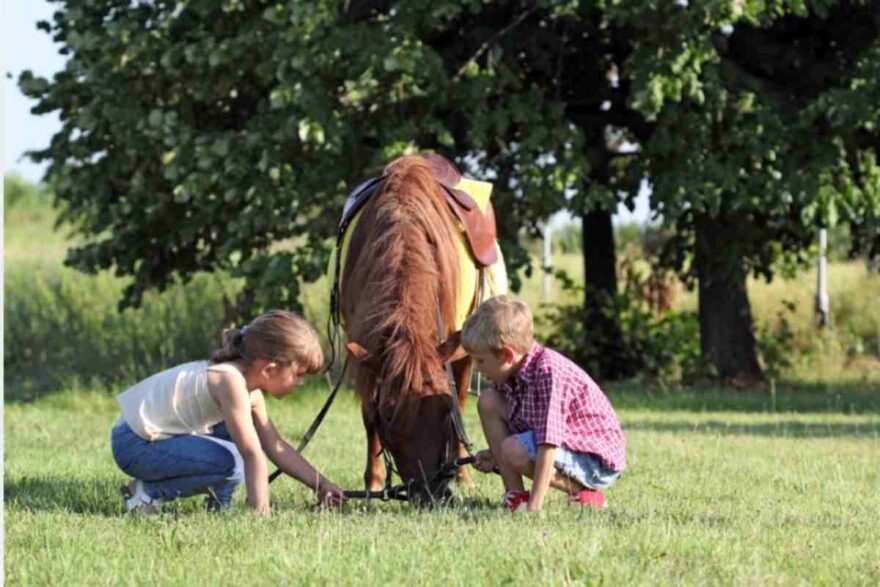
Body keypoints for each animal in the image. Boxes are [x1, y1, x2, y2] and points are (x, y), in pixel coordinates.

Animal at [340, 154, 474, 504]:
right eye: (389, 416)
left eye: (444, 412)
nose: (429, 492)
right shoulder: (365, 350)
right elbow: (367, 415)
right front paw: (373, 483)